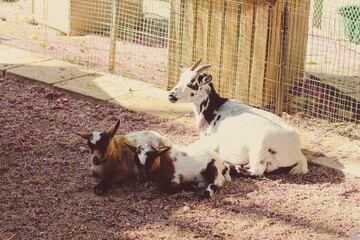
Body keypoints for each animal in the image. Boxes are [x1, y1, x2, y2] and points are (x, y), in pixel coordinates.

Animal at [167, 58, 308, 176]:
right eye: (180, 79)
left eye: (192, 83)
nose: (171, 95)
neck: (214, 108)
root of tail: (298, 153)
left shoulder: (212, 141)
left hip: (260, 148)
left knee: (255, 171)